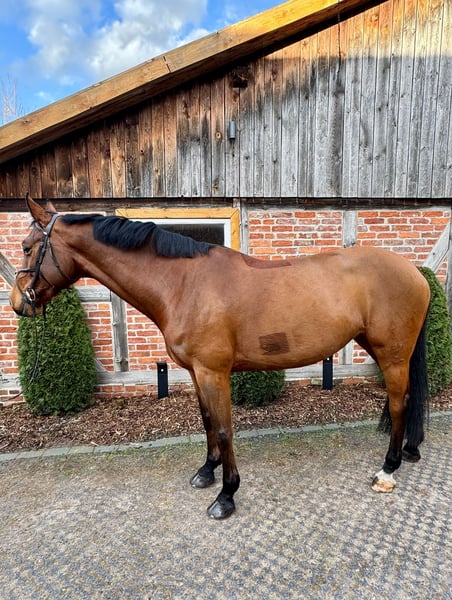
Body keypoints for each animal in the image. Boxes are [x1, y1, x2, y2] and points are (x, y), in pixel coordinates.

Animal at [9, 195, 430, 519]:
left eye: (28, 247)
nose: (17, 304)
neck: (182, 284)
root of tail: (416, 273)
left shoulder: (214, 372)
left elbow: (226, 429)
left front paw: (226, 496)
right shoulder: (197, 372)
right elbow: (208, 421)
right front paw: (206, 471)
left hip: (393, 355)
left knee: (399, 403)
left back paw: (387, 470)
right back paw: (409, 452)